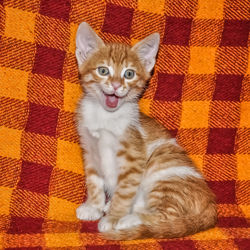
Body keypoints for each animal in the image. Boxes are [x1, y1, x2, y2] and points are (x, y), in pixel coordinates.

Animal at [74, 22, 217, 239]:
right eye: (103, 70)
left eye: (129, 74)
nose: (115, 85)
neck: (105, 117)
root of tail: (210, 202)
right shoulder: (90, 151)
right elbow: (94, 181)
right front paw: (94, 206)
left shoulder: (133, 157)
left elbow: (124, 191)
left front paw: (113, 218)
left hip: (164, 174)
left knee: (167, 216)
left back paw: (128, 220)